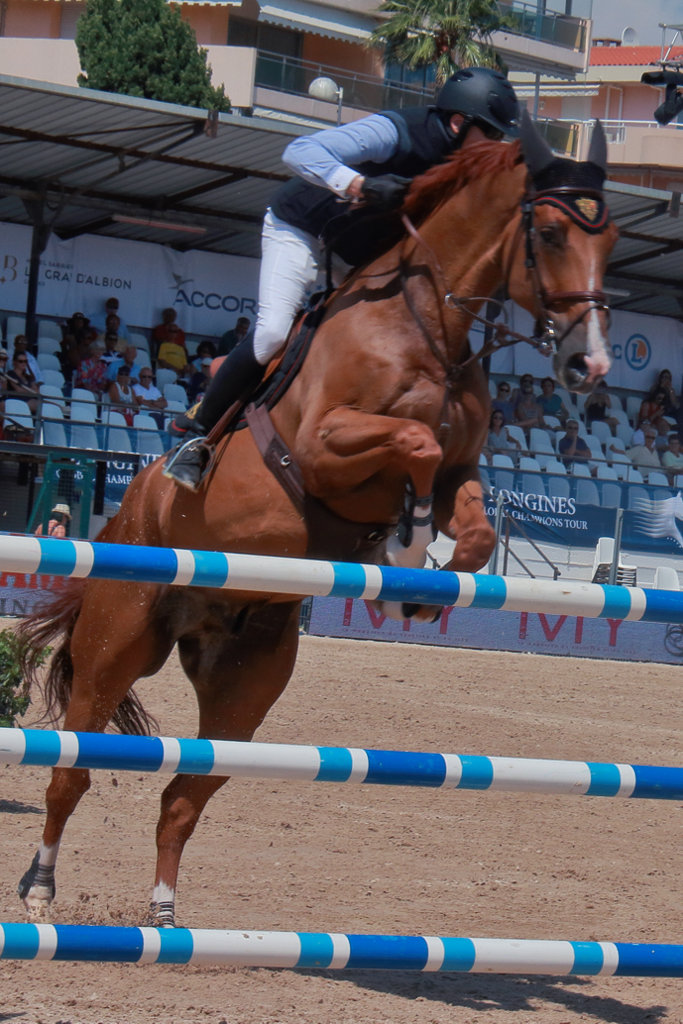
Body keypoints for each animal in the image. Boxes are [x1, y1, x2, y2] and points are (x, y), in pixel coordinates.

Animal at [15, 114, 618, 929]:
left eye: (607, 237)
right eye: (551, 233)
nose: (591, 366)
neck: (428, 326)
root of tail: (121, 523)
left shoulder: (463, 469)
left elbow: (476, 524)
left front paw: (413, 588)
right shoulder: (324, 447)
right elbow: (415, 444)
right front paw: (407, 539)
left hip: (246, 686)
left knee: (184, 795)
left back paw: (165, 913)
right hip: (118, 644)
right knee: (71, 771)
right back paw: (41, 885)